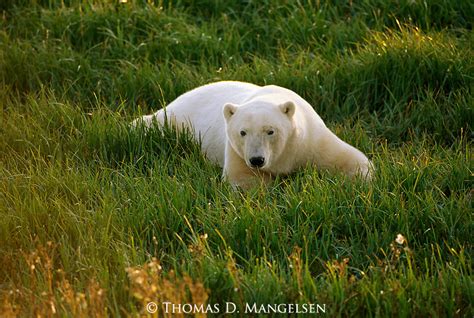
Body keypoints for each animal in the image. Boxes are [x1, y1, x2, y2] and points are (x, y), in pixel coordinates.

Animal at [131, 81, 372, 189]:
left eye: (270, 131)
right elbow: (243, 180)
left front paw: (359, 179)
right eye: (243, 132)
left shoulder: (311, 139)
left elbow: (347, 159)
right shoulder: (236, 152)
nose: (257, 160)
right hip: (174, 121)